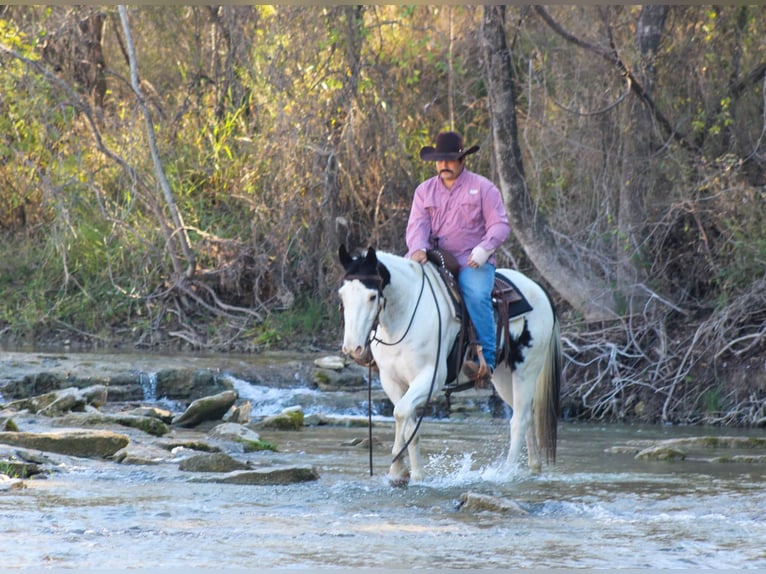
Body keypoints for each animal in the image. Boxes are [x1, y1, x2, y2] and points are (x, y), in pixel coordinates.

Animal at [338, 245, 562, 484]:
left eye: (372, 296)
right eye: (342, 295)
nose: (352, 348)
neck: (405, 315)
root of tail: (539, 289)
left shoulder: (431, 378)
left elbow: (401, 412)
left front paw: (397, 468)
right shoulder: (391, 381)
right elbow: (409, 425)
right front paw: (413, 475)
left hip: (526, 370)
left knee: (519, 420)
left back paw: (506, 473)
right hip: (503, 376)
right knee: (528, 415)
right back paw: (534, 467)